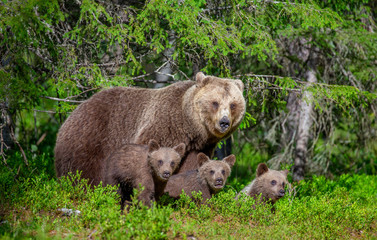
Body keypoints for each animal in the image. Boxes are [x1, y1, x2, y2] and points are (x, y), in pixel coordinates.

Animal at [54, 72, 245, 185]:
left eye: (233, 104)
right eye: (215, 102)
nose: (224, 122)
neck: (190, 127)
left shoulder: (199, 146)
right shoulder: (164, 126)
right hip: (91, 137)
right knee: (84, 170)